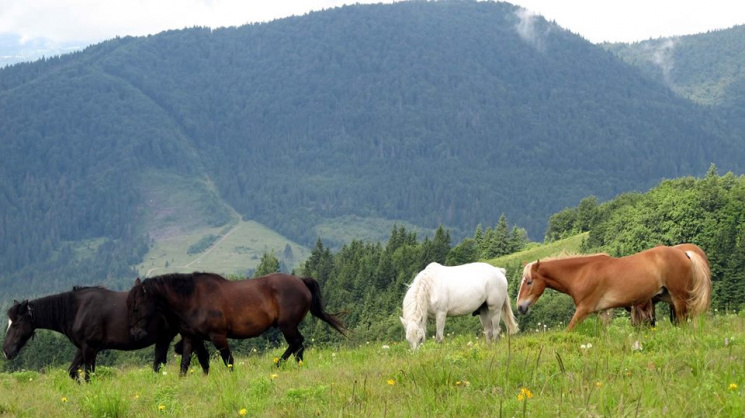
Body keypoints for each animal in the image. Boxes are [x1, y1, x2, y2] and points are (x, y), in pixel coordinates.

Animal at [2, 286, 209, 380]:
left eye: (16, 324)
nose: (6, 351)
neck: (77, 310)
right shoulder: (83, 349)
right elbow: (72, 372)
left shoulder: (90, 349)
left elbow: (88, 376)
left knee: (185, 358)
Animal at [126, 272, 348, 376]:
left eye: (136, 306)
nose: (135, 334)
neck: (193, 298)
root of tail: (301, 281)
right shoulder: (190, 337)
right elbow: (185, 364)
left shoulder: (218, 336)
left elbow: (228, 360)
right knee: (299, 345)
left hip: (287, 326)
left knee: (296, 343)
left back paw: (277, 364)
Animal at [516, 245, 708, 330]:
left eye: (529, 281)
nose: (520, 307)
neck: (582, 272)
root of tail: (684, 253)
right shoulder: (602, 312)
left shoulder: (583, 310)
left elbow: (569, 330)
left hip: (679, 298)